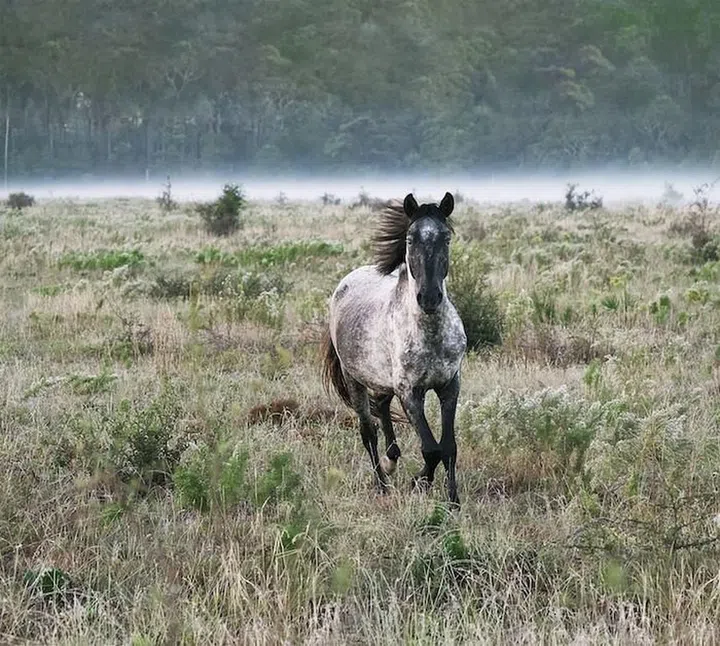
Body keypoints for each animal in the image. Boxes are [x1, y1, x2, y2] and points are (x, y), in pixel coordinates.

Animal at [321, 192, 467, 506]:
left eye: (446, 238)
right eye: (410, 239)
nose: (429, 298)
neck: (430, 335)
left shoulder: (449, 386)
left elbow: (448, 446)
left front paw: (453, 500)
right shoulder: (410, 392)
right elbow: (431, 448)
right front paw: (419, 482)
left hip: (382, 382)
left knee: (382, 407)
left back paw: (392, 460)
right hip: (355, 380)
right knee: (368, 431)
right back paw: (382, 483)